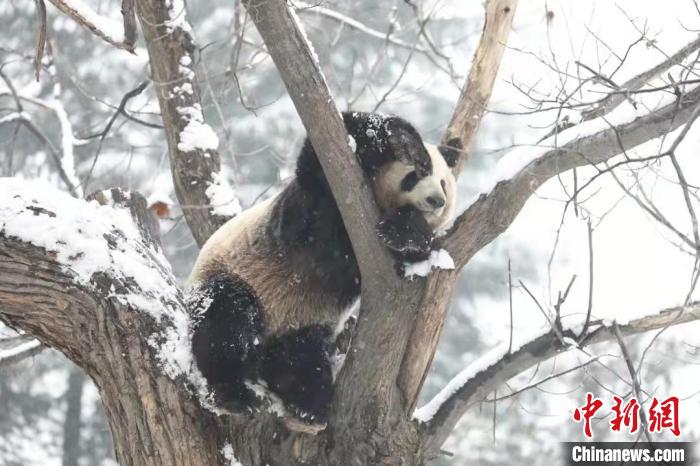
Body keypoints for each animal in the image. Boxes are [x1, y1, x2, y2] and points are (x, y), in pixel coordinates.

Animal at [187, 111, 460, 428]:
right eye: (417, 172)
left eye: (444, 183)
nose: (436, 201)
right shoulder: (310, 206)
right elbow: (319, 162)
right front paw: (401, 138)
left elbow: (415, 258)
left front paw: (404, 230)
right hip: (235, 275)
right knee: (224, 320)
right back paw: (233, 394)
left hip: (302, 322)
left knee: (299, 358)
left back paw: (309, 405)